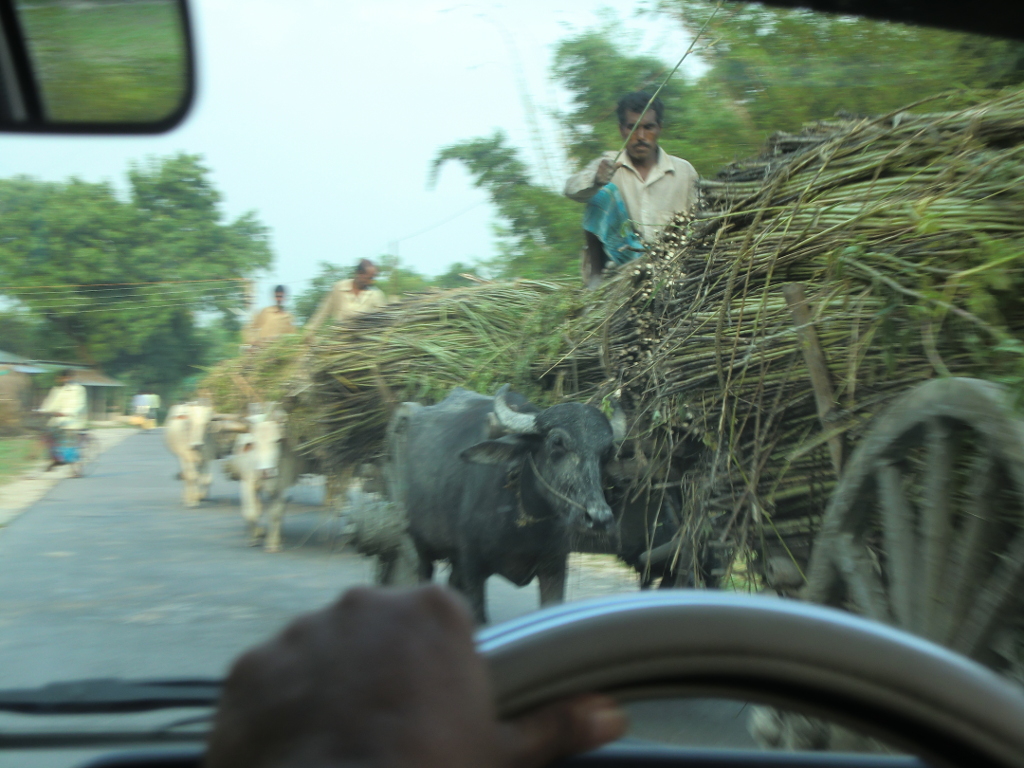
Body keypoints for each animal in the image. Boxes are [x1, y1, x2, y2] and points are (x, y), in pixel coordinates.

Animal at [387, 385, 618, 626]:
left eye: (608, 452)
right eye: (557, 442)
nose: (598, 518)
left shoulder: (554, 568)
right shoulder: (472, 568)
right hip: (421, 544)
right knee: (423, 574)